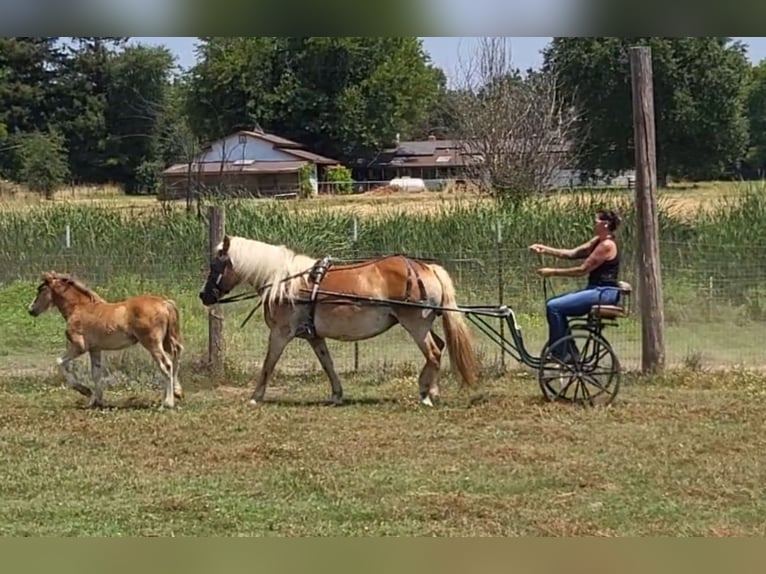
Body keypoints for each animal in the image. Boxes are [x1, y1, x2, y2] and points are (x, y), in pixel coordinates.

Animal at [28, 274, 184, 412]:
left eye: (40, 289)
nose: (31, 310)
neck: (79, 308)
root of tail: (165, 303)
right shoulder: (95, 349)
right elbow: (96, 374)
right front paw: (97, 401)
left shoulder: (79, 347)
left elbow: (60, 361)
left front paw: (86, 392)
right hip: (166, 341)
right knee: (175, 357)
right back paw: (177, 393)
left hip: (152, 343)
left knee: (166, 365)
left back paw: (167, 403)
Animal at [196, 236, 480, 408]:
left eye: (216, 265)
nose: (204, 295)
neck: (285, 283)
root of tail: (426, 268)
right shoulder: (314, 335)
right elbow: (327, 364)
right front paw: (336, 394)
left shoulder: (280, 333)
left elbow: (268, 364)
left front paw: (256, 397)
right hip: (423, 324)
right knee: (439, 347)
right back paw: (432, 391)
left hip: (416, 325)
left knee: (433, 353)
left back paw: (426, 395)